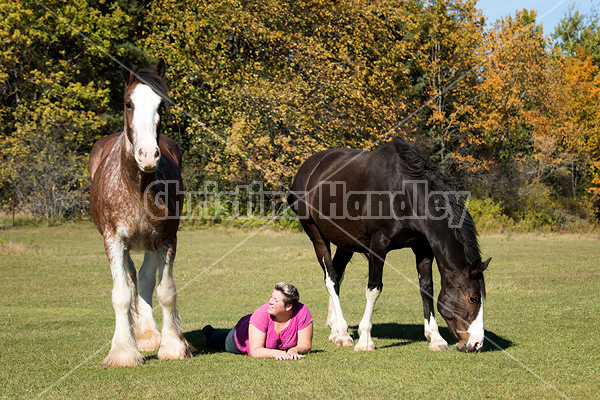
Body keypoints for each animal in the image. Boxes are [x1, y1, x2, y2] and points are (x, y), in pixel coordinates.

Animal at [88, 57, 192, 368]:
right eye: (128, 104)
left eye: (161, 104)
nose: (147, 155)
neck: (136, 184)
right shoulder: (113, 240)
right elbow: (121, 293)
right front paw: (123, 350)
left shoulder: (166, 239)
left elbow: (165, 290)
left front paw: (171, 346)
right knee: (132, 278)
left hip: (149, 242)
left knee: (144, 278)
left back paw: (148, 334)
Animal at [288, 138, 490, 354]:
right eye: (473, 298)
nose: (476, 344)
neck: (405, 194)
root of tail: (307, 169)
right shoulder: (378, 246)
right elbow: (374, 289)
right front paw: (365, 340)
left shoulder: (423, 248)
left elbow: (427, 288)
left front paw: (435, 337)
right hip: (316, 234)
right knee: (331, 278)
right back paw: (342, 333)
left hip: (346, 242)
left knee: (337, 274)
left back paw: (335, 330)